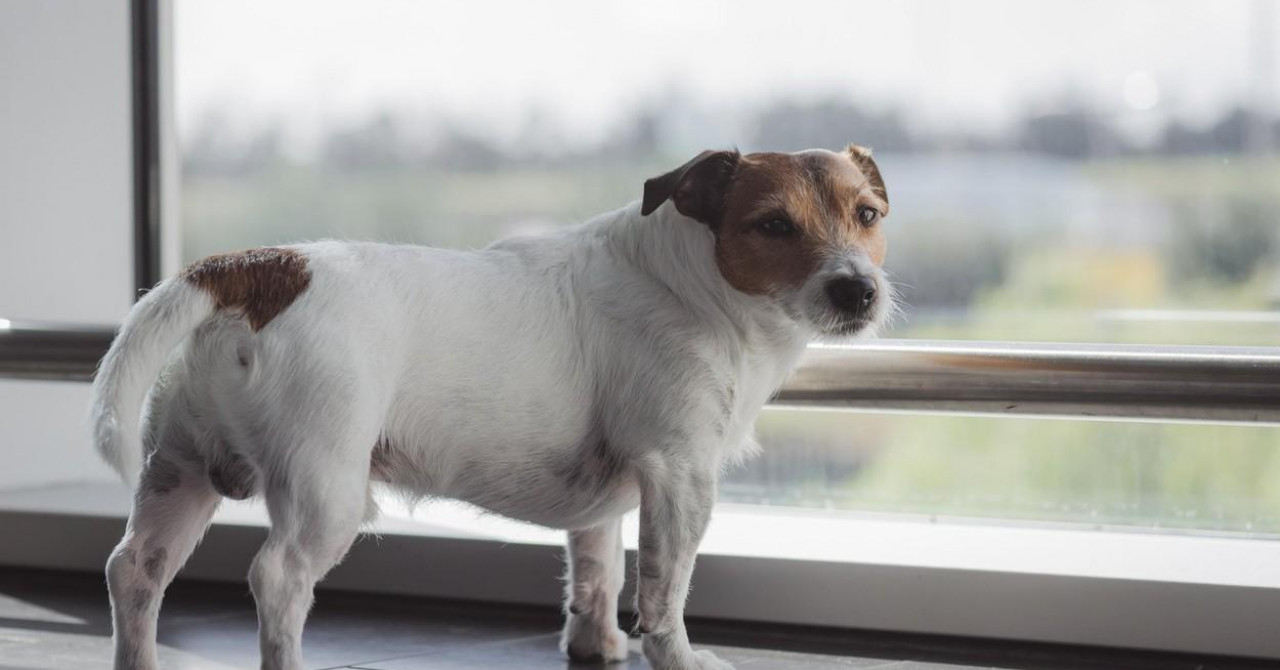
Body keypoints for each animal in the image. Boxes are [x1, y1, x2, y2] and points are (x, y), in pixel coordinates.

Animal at [92, 145, 890, 670]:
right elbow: (665, 591)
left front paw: (597, 645)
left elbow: (597, 570)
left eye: (868, 214)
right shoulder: (680, 475)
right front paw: (678, 658)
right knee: (277, 580)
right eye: (774, 225)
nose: (859, 290)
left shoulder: (609, 499)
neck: (689, 283)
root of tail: (252, 269)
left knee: (134, 571)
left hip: (178, 472)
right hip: (325, 492)